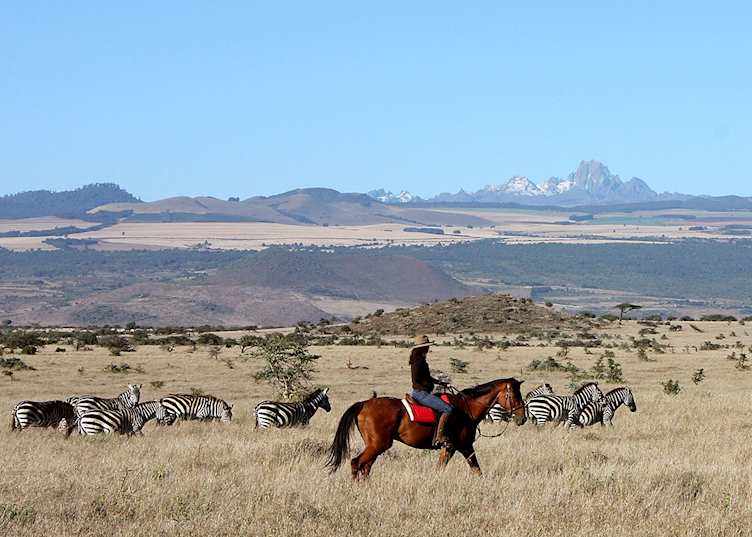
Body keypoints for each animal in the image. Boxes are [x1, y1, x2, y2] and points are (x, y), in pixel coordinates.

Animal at [326, 378, 526, 479]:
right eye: (515, 395)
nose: (522, 418)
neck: (466, 408)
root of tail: (364, 404)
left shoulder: (456, 447)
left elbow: (471, 470)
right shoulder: (459, 446)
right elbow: (470, 470)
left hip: (374, 445)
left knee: (365, 466)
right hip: (379, 444)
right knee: (356, 463)